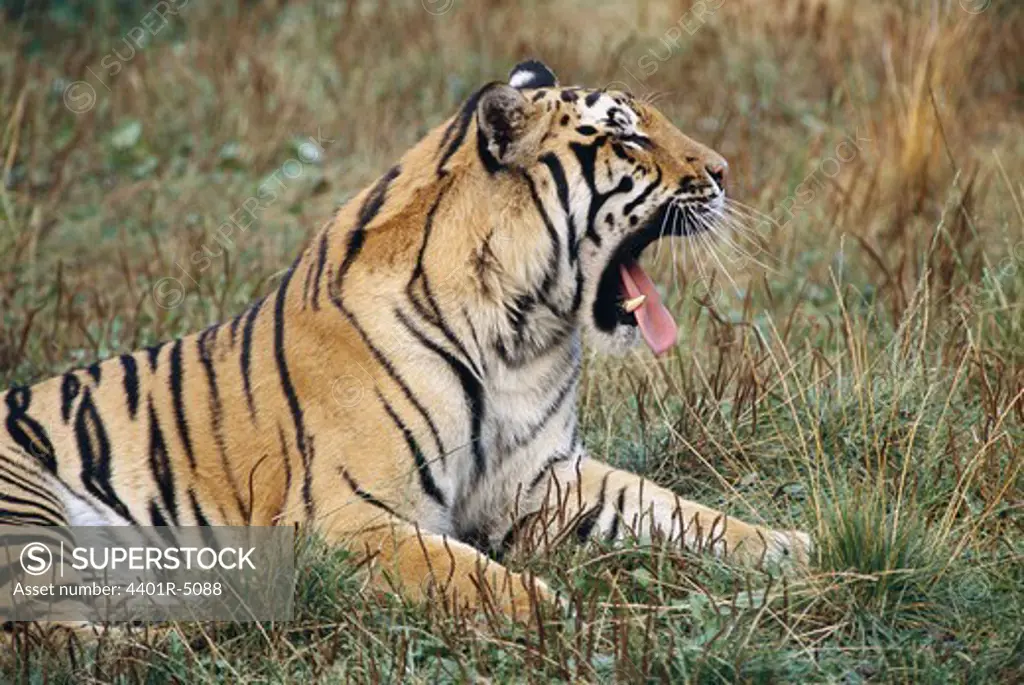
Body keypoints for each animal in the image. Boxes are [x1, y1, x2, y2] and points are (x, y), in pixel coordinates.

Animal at [2, 60, 806, 626]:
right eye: (628, 133)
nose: (725, 172)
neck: (521, 334)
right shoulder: (342, 514)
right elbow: (457, 567)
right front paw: (553, 610)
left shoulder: (542, 476)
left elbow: (671, 508)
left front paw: (786, 545)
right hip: (29, 511)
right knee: (46, 631)